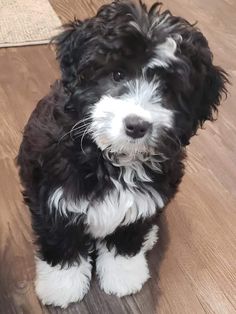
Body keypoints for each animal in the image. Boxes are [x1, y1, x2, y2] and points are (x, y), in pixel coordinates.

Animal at [16, 0, 227, 308]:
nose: (137, 126)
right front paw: (62, 286)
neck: (113, 158)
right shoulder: (55, 199)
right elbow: (62, 244)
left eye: (167, 89)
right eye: (117, 74)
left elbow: (126, 241)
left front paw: (123, 277)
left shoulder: (144, 202)